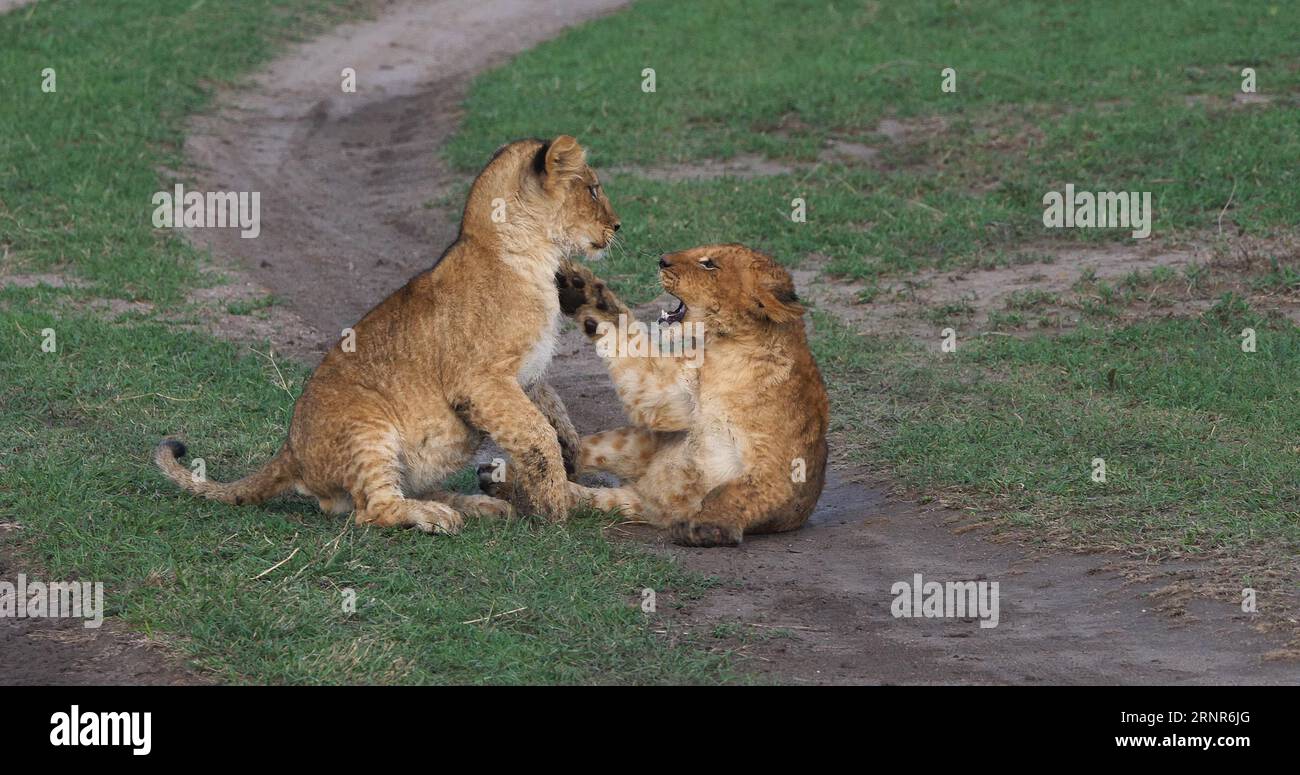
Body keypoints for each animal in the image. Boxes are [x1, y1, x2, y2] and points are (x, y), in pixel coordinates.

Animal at [154, 135, 620, 533]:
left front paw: (569, 451)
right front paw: (555, 506)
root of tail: (290, 452)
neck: (532, 254)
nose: (618, 226)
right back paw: (437, 515)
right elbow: (536, 433)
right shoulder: (480, 381)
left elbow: (551, 411)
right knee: (373, 510)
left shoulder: (527, 375)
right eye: (593, 189)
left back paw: (479, 503)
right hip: (366, 426)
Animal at [485, 243, 829, 546]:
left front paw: (704, 526)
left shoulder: (782, 469)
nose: (662, 259)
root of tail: (643, 490)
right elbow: (630, 347)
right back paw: (502, 476)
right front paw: (582, 290)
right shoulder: (669, 398)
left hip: (627, 497)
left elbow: (736, 492)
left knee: (585, 497)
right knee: (571, 457)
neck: (728, 353)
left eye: (709, 264)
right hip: (629, 441)